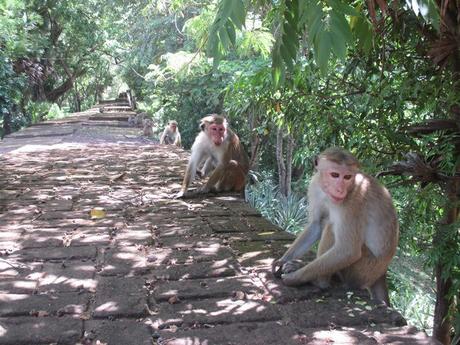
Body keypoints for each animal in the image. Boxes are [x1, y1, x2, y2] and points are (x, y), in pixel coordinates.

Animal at [274, 146, 398, 306]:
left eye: (347, 177)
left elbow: (348, 250)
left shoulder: (354, 200)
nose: (340, 190)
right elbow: (316, 224)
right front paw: (283, 260)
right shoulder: (315, 185)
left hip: (363, 269)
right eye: (335, 175)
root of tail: (381, 273)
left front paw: (295, 277)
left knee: (332, 227)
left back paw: (320, 281)